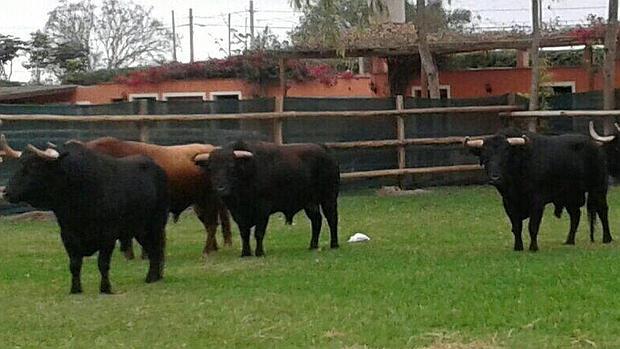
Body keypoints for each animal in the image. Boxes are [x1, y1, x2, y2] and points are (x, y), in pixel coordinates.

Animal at [75, 137, 232, 256]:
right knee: (209, 223)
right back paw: (213, 249)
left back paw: (206, 251)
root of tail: (210, 149)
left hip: (208, 201)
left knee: (212, 224)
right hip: (199, 204)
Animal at [194, 139, 340, 256]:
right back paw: (313, 246)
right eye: (211, 168)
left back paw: (334, 244)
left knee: (332, 219)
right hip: (309, 202)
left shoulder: (262, 209)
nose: (220, 188)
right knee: (316, 220)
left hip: (329, 197)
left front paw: (259, 252)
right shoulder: (237, 213)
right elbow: (244, 233)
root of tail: (323, 148)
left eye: (231, 166)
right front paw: (245, 253)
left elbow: (259, 232)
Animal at [464, 128, 612, 250]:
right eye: (485, 156)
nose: (495, 178)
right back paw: (569, 241)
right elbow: (516, 227)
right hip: (570, 195)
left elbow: (532, 226)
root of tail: (594, 145)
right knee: (575, 215)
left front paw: (533, 247)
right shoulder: (508, 203)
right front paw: (518, 247)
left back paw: (607, 238)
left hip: (598, 189)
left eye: (506, 155)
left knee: (602, 210)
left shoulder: (537, 202)